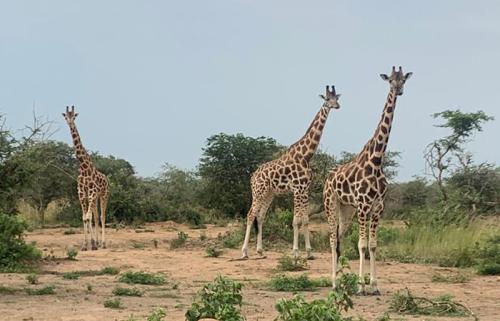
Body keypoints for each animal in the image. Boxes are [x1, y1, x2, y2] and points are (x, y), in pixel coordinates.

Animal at [62, 105, 109, 250]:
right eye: (66, 116)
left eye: (74, 116)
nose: (70, 123)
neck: (83, 167)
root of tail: (107, 179)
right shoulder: (82, 193)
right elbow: (84, 217)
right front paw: (86, 245)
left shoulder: (92, 192)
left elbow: (88, 217)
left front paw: (92, 244)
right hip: (94, 197)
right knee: (96, 216)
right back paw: (97, 243)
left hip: (104, 195)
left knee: (102, 216)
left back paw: (103, 244)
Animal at [240, 84, 342, 258]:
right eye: (328, 99)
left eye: (337, 98)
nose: (337, 106)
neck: (306, 155)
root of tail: (253, 176)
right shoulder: (297, 189)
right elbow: (295, 221)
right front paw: (295, 252)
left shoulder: (305, 189)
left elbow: (305, 219)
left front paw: (309, 252)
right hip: (258, 191)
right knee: (250, 215)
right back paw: (245, 252)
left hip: (269, 194)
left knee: (260, 216)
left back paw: (260, 250)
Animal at [324, 66, 410, 294]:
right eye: (390, 80)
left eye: (403, 80)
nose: (398, 91)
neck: (377, 161)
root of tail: (327, 177)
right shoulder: (363, 206)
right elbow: (361, 245)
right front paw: (361, 287)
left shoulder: (378, 207)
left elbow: (372, 245)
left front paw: (374, 285)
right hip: (331, 204)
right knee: (332, 239)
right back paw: (334, 283)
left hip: (347, 208)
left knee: (340, 238)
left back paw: (342, 281)